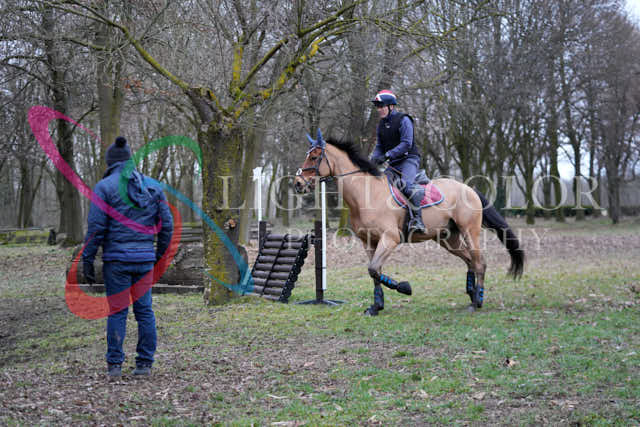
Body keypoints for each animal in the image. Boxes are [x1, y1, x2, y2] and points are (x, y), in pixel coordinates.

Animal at [294, 130, 524, 315]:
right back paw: (471, 293)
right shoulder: (368, 242)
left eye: (314, 157)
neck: (365, 195)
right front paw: (376, 307)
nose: (298, 184)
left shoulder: (390, 239)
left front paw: (405, 288)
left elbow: (374, 269)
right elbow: (374, 271)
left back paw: (477, 300)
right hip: (448, 238)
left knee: (479, 263)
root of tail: (469, 189)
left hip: (470, 231)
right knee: (469, 261)